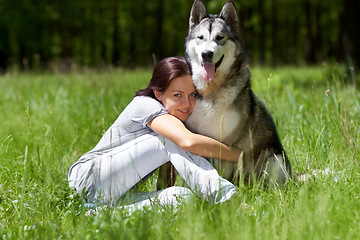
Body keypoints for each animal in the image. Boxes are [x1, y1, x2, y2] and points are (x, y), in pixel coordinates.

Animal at [184, 0, 292, 185]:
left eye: (219, 37)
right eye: (200, 38)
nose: (207, 54)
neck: (212, 90)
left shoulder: (229, 145)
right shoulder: (195, 138)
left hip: (274, 159)